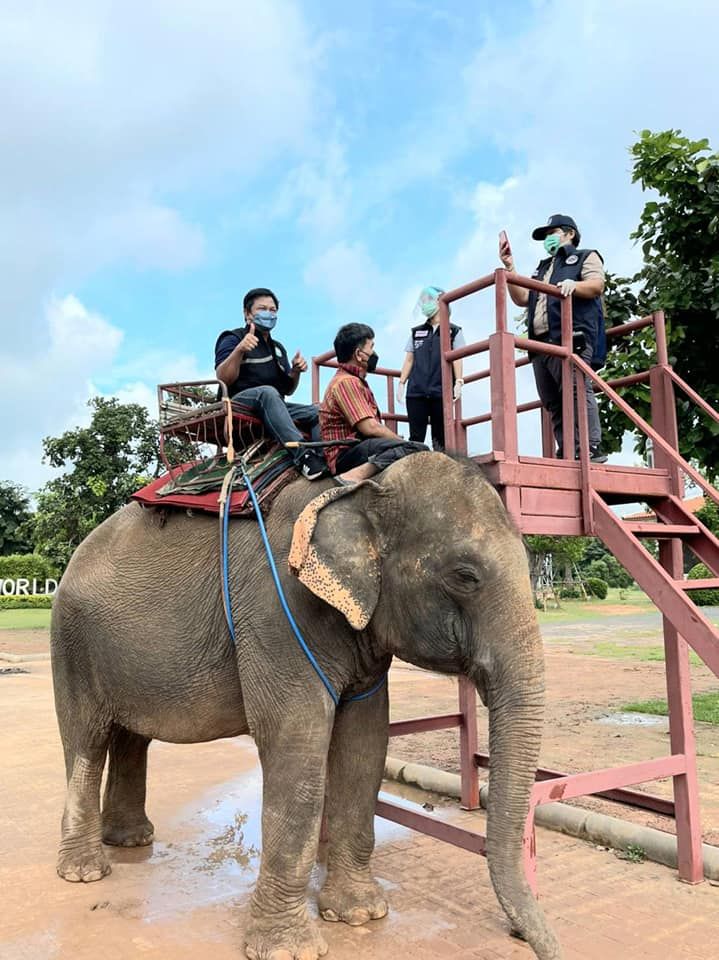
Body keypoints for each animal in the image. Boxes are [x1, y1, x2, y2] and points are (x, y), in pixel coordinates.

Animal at [52, 452, 564, 960]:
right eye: (465, 577)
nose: (524, 939)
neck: (357, 489)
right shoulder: (278, 616)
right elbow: (296, 742)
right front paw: (289, 949)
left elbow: (364, 742)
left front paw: (359, 914)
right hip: (71, 642)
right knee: (86, 742)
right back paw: (85, 872)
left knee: (130, 738)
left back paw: (131, 841)